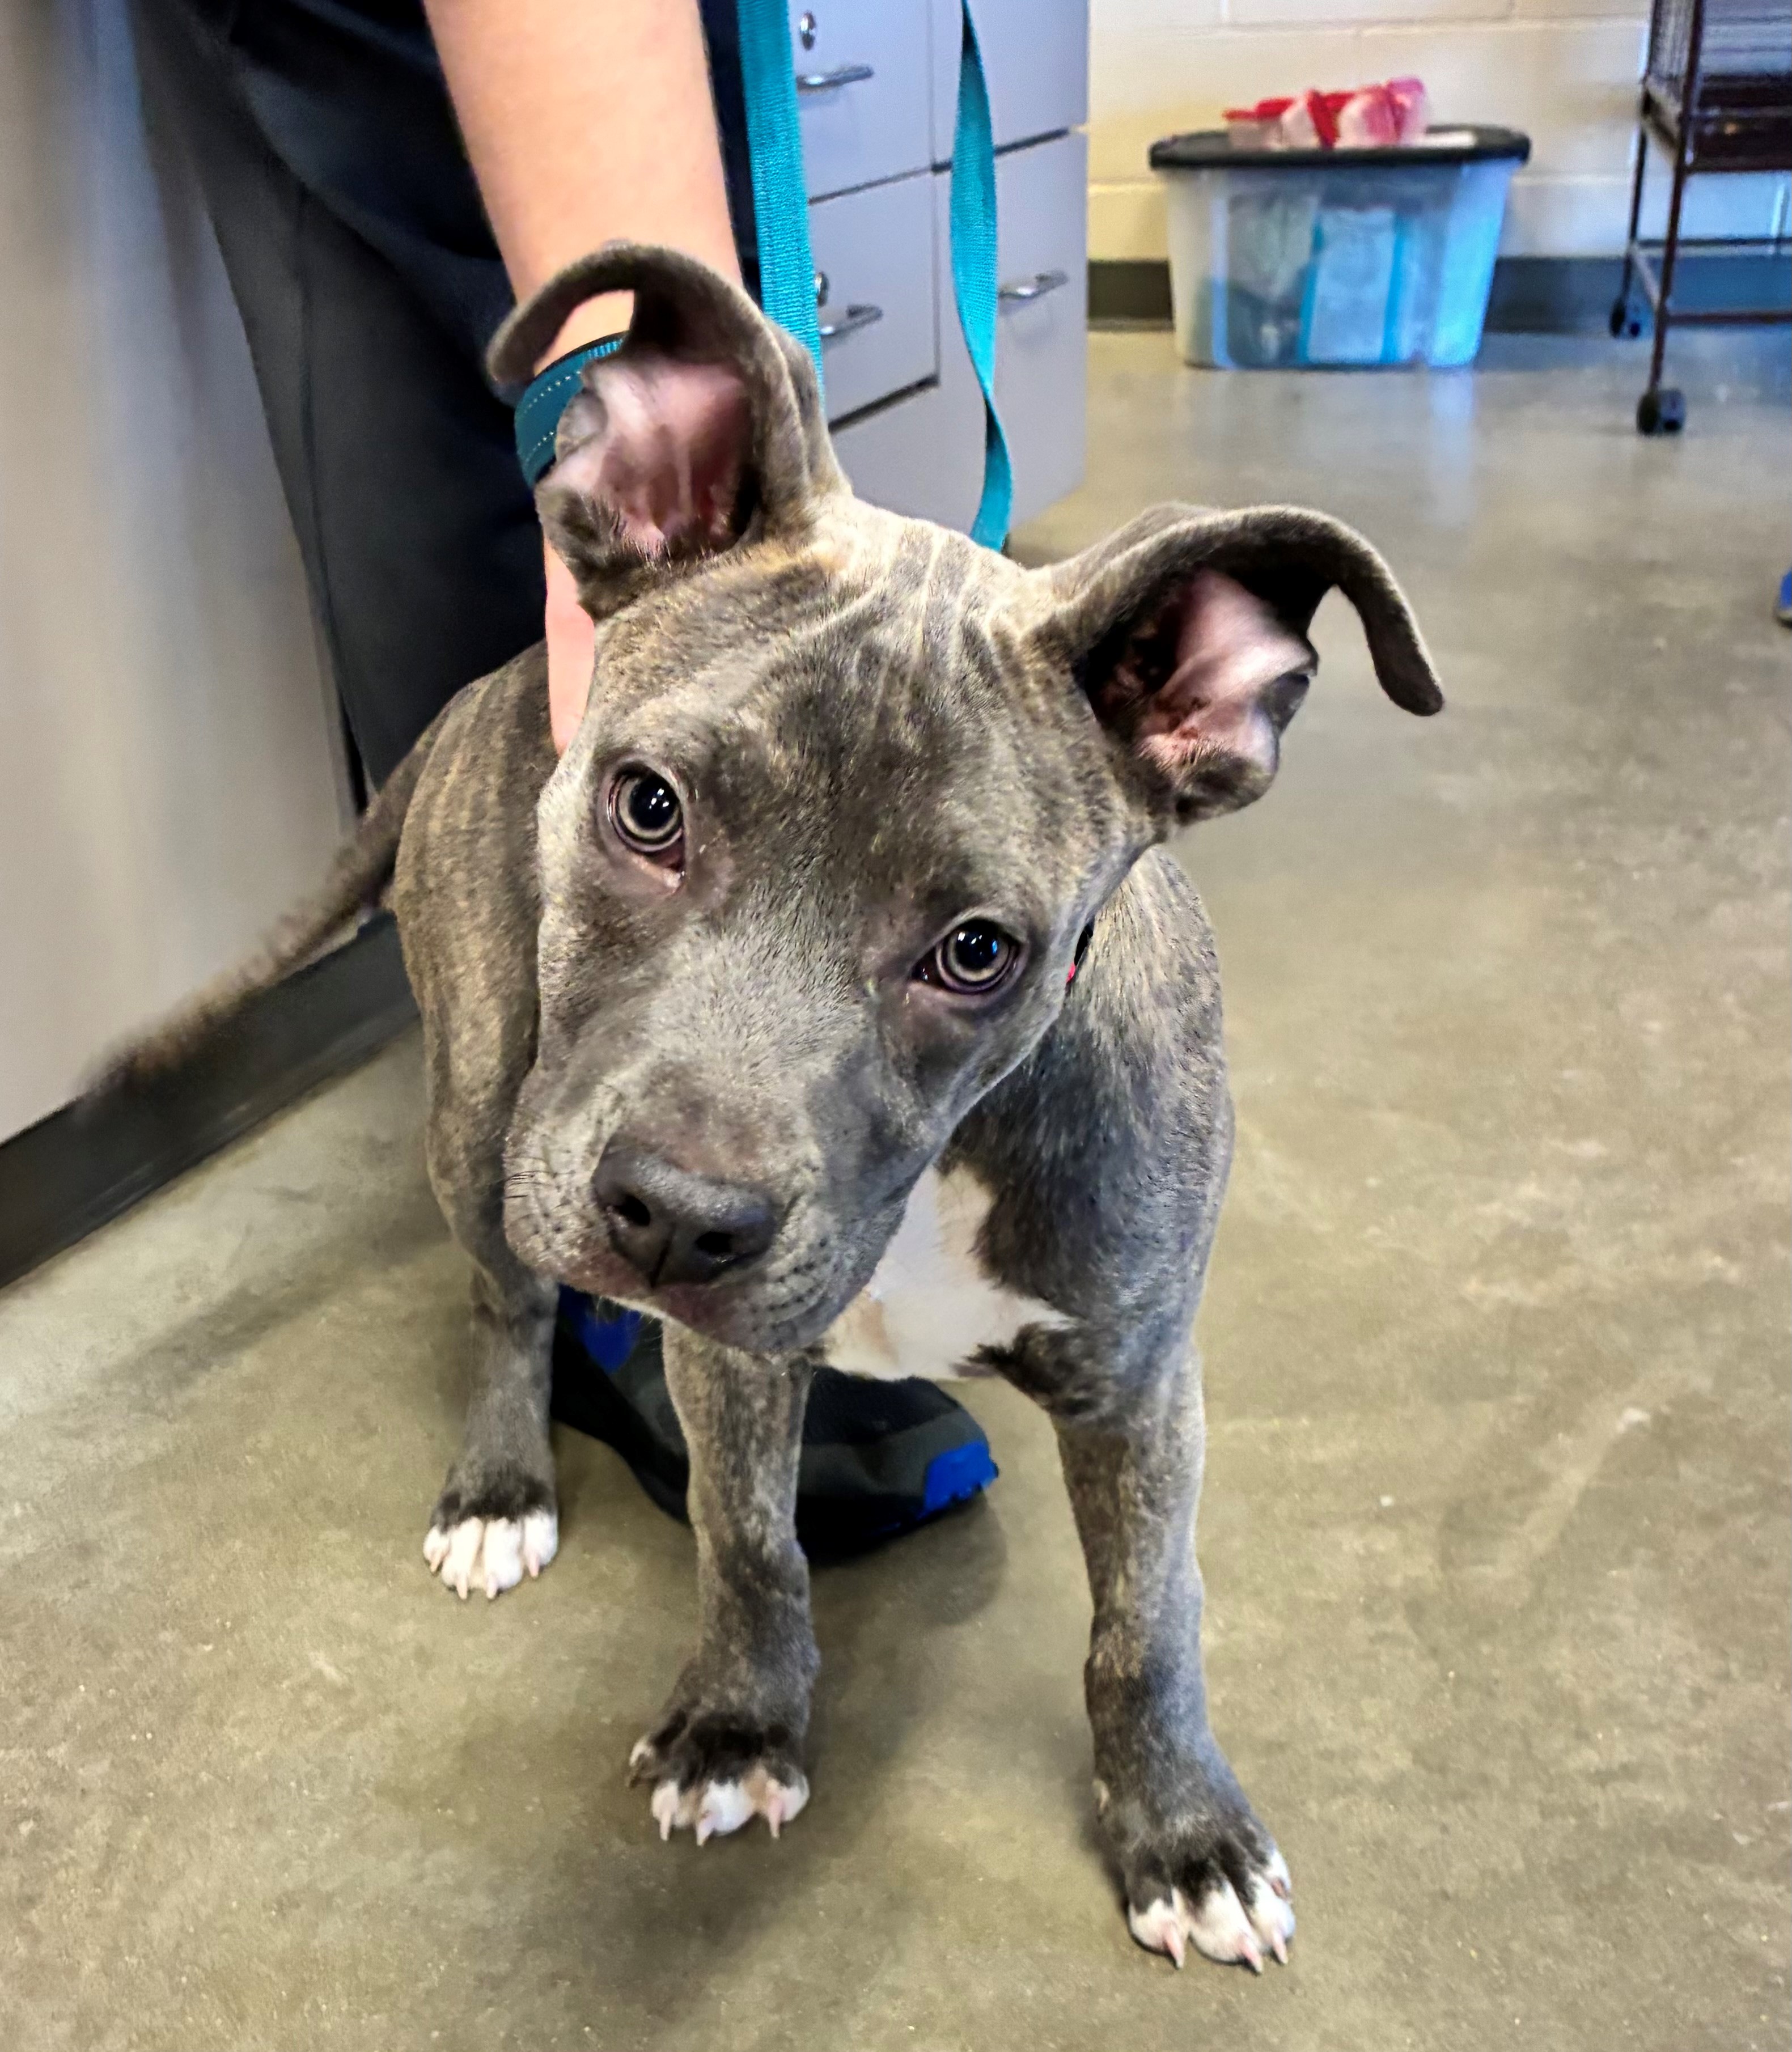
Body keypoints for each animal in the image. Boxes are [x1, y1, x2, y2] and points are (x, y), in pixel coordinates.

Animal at [116, 244, 1441, 1973]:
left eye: (978, 950)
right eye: (649, 807)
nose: (673, 1220)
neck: (943, 1171)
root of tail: (496, 677)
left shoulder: (1140, 1379)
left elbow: (1147, 1618)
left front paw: (1182, 1832)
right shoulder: (723, 1351)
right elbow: (747, 1539)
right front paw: (743, 1726)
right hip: (480, 1112)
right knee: (502, 1299)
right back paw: (500, 1484)